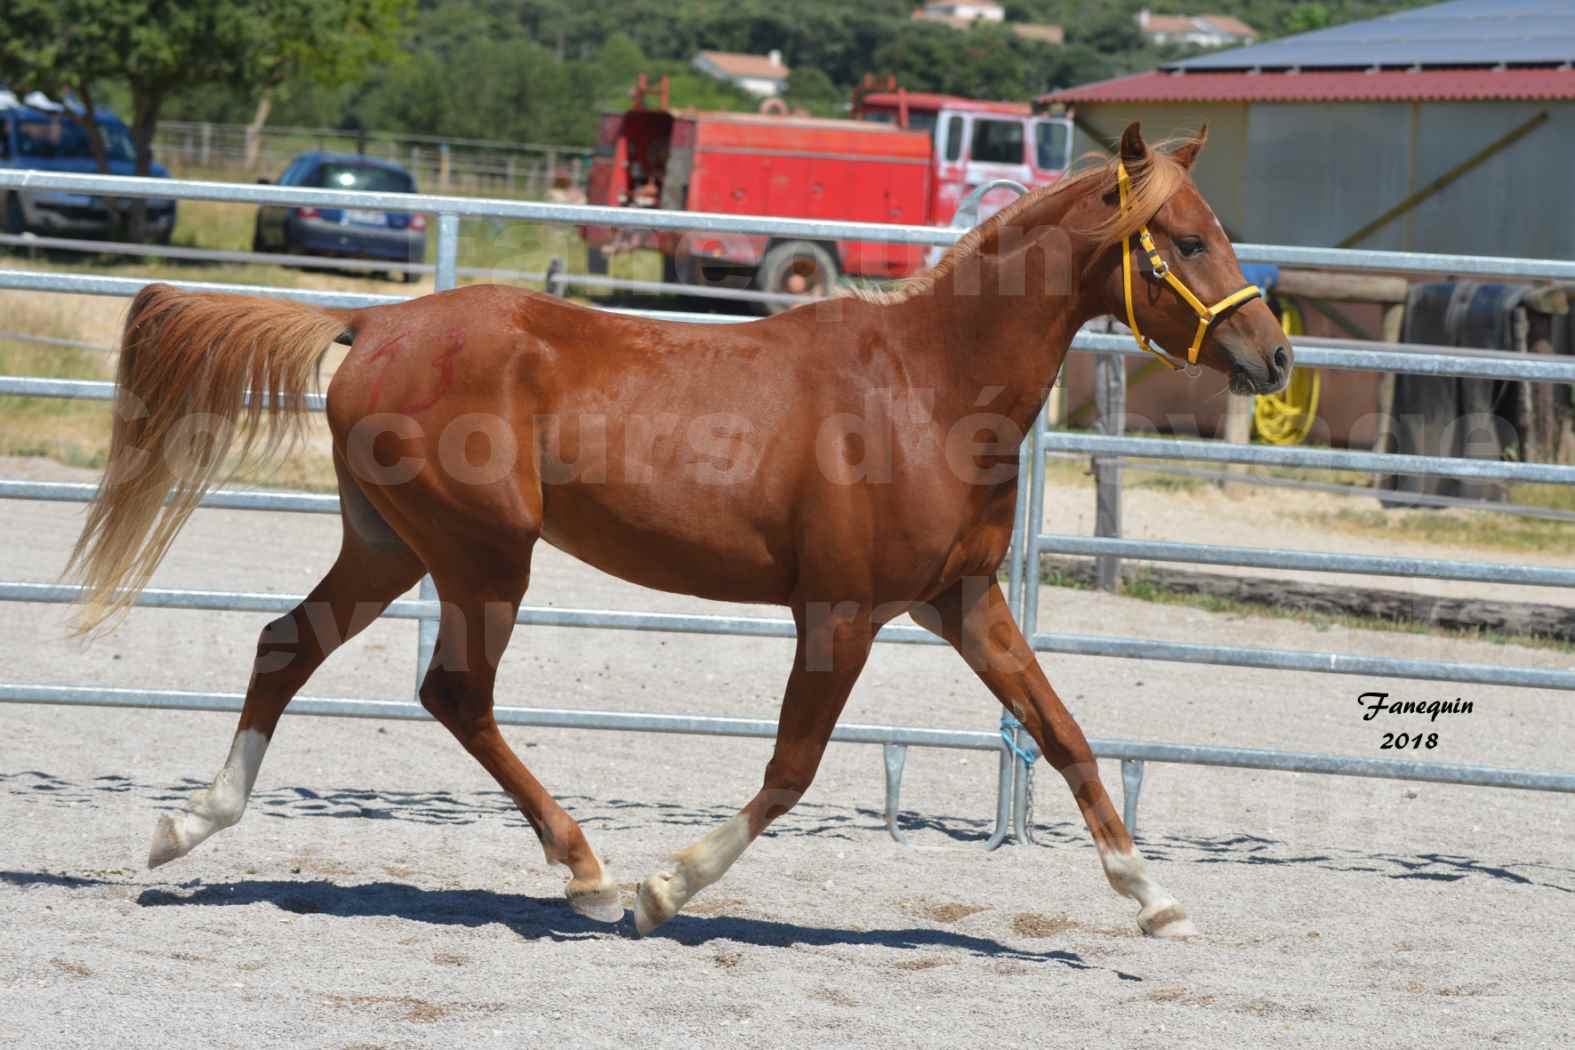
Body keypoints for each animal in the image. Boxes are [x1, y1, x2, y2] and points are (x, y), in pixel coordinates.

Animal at [64, 127, 1291, 938]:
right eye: (1184, 240)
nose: (1273, 359)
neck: (927, 389)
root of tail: (370, 321)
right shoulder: (840, 613)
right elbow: (793, 767)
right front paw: (668, 887)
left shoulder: (965, 601)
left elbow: (1064, 732)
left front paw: (1154, 898)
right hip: (483, 559)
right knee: (453, 695)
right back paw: (592, 875)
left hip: (391, 546)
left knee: (287, 645)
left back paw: (184, 828)